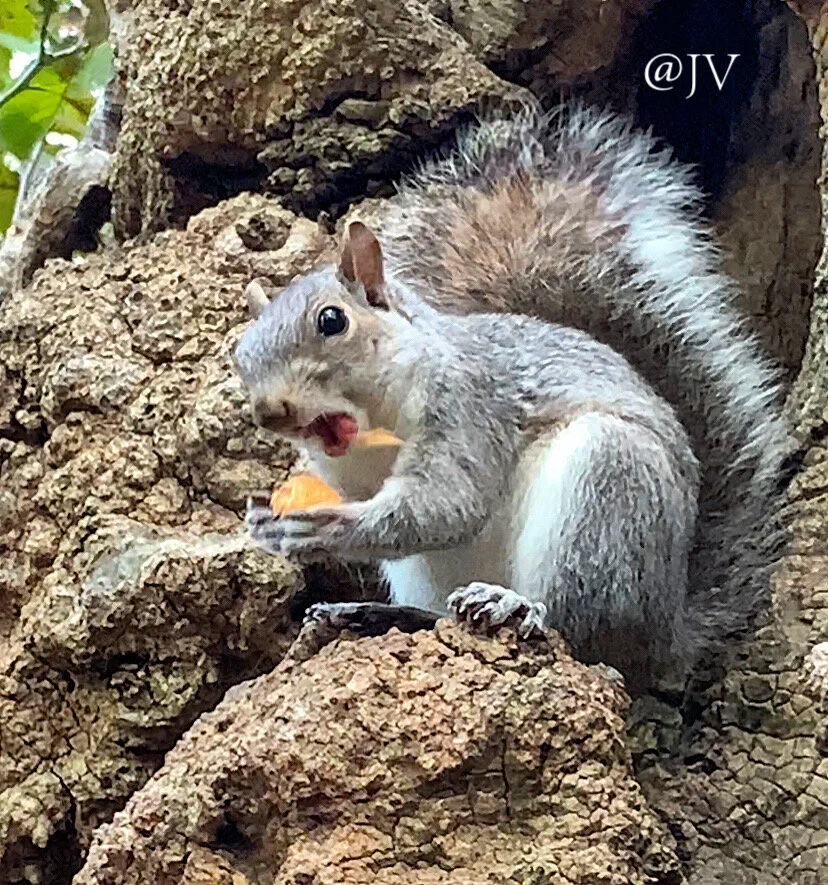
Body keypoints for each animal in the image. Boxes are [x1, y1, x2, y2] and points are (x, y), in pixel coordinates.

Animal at [234, 101, 791, 688]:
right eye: (239, 354)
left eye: (332, 321)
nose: (270, 411)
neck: (375, 425)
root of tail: (665, 638)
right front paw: (266, 522)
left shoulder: (472, 411)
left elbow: (445, 506)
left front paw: (331, 527)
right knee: (441, 612)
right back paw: (379, 613)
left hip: (608, 492)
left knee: (579, 623)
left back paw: (515, 605)